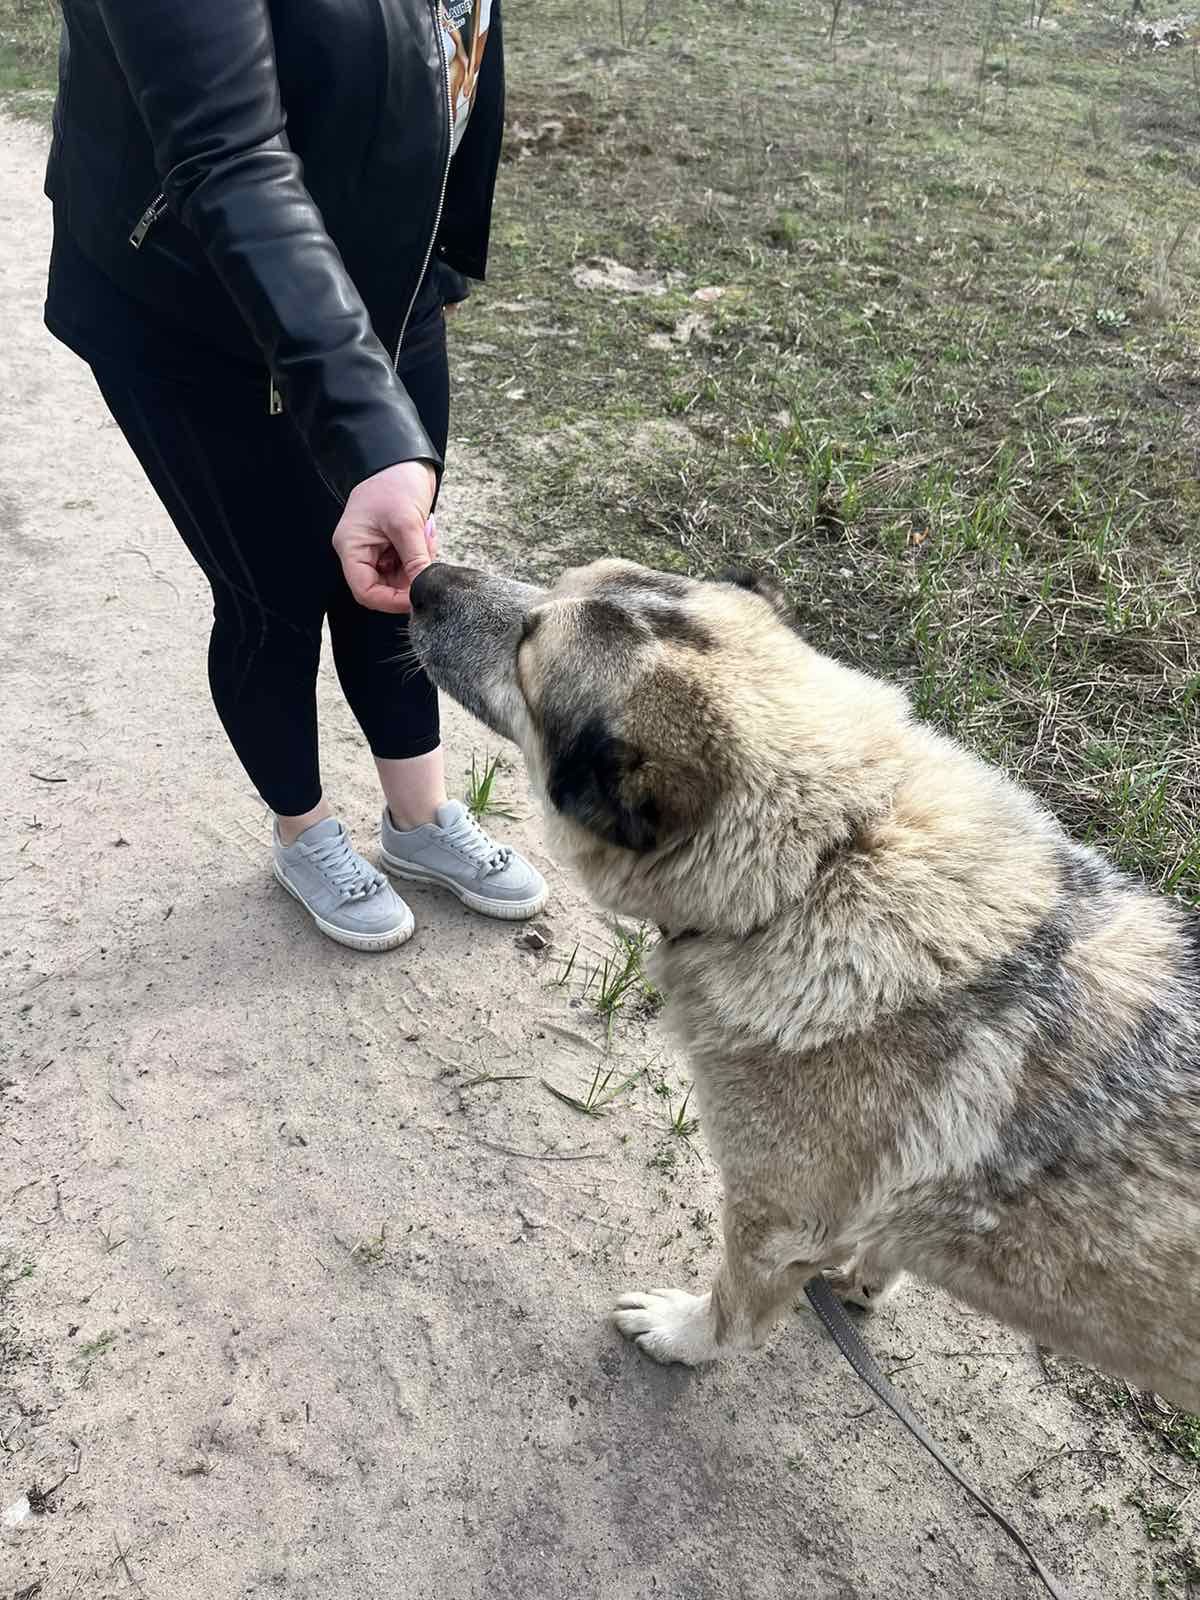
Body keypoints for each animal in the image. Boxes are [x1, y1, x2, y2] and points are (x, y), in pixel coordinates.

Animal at [406, 556, 1200, 1408]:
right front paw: (869, 1280)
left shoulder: (773, 1222)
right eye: (560, 581)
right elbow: (885, 1246)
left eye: (527, 646)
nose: (421, 577)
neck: (832, 857)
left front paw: (680, 1336)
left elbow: (731, 1315)